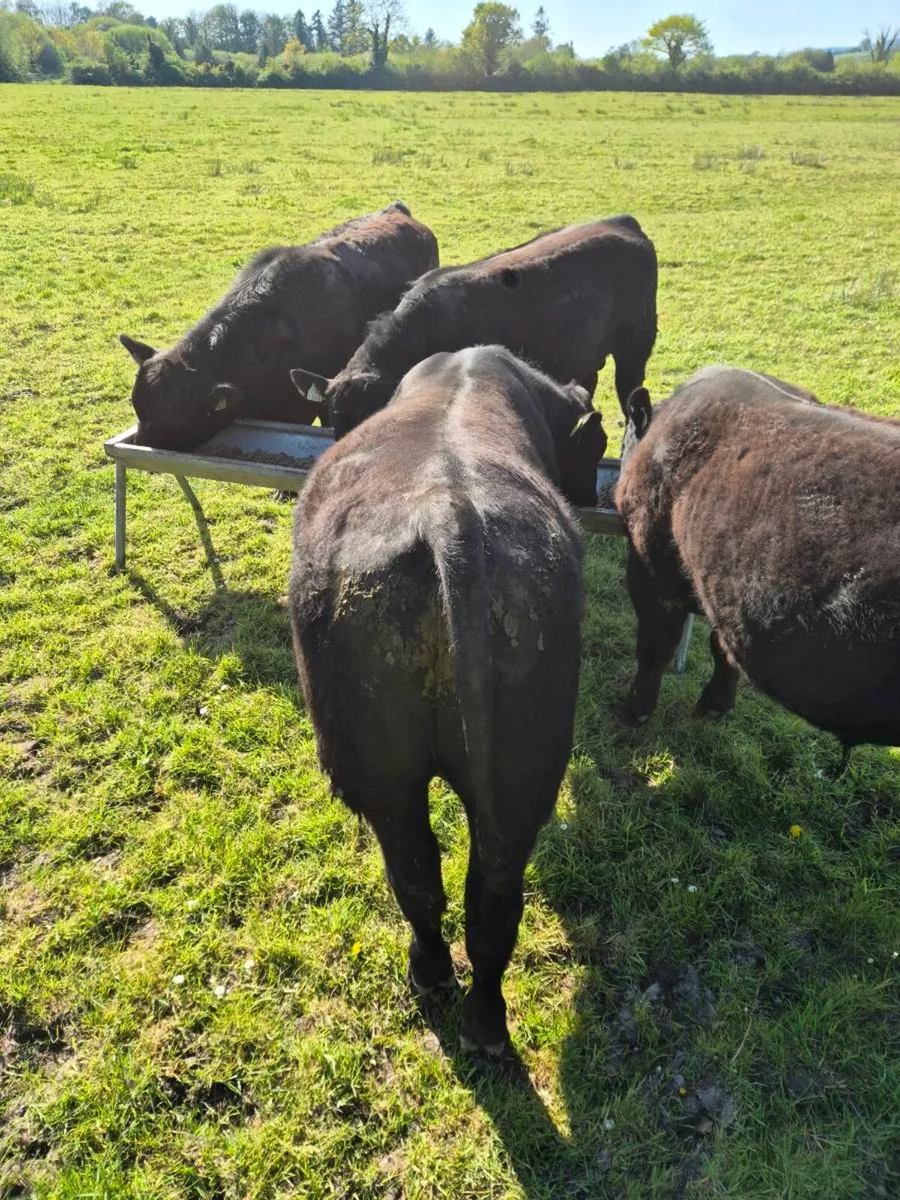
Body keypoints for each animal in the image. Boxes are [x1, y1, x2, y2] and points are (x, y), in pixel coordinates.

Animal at [289, 346, 607, 1054]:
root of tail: (447, 514)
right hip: (502, 780)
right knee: (474, 891)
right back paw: (477, 1011)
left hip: (381, 779)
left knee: (424, 879)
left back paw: (437, 981)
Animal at [616, 365, 900, 769]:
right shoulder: (726, 593)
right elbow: (722, 649)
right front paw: (716, 705)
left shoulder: (653, 571)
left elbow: (655, 648)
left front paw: (634, 711)